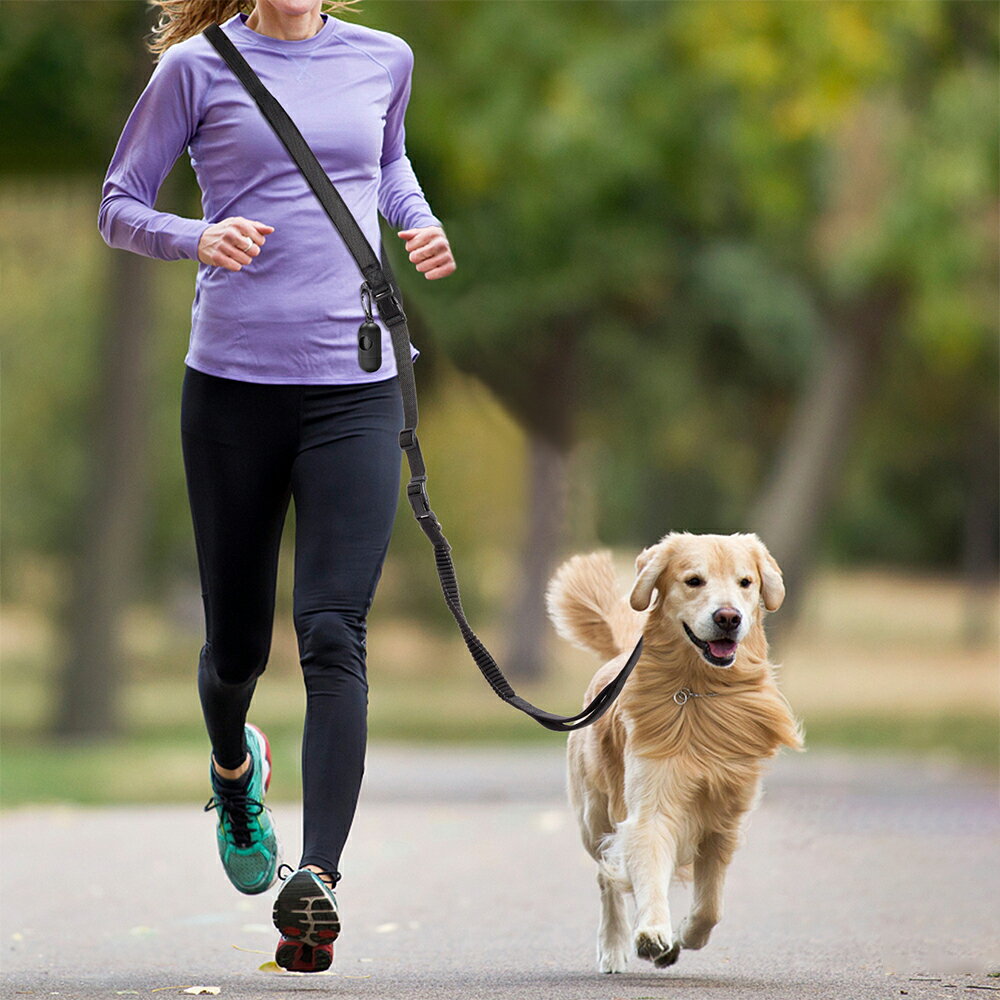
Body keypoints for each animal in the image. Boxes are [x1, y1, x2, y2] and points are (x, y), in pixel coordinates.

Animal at [548, 536, 804, 972]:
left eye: (746, 582)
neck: (699, 690)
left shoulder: (725, 819)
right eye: (693, 580)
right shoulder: (651, 807)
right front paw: (653, 933)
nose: (728, 617)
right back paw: (613, 947)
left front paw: (683, 936)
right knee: (606, 877)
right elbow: (646, 867)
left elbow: (710, 906)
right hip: (593, 815)